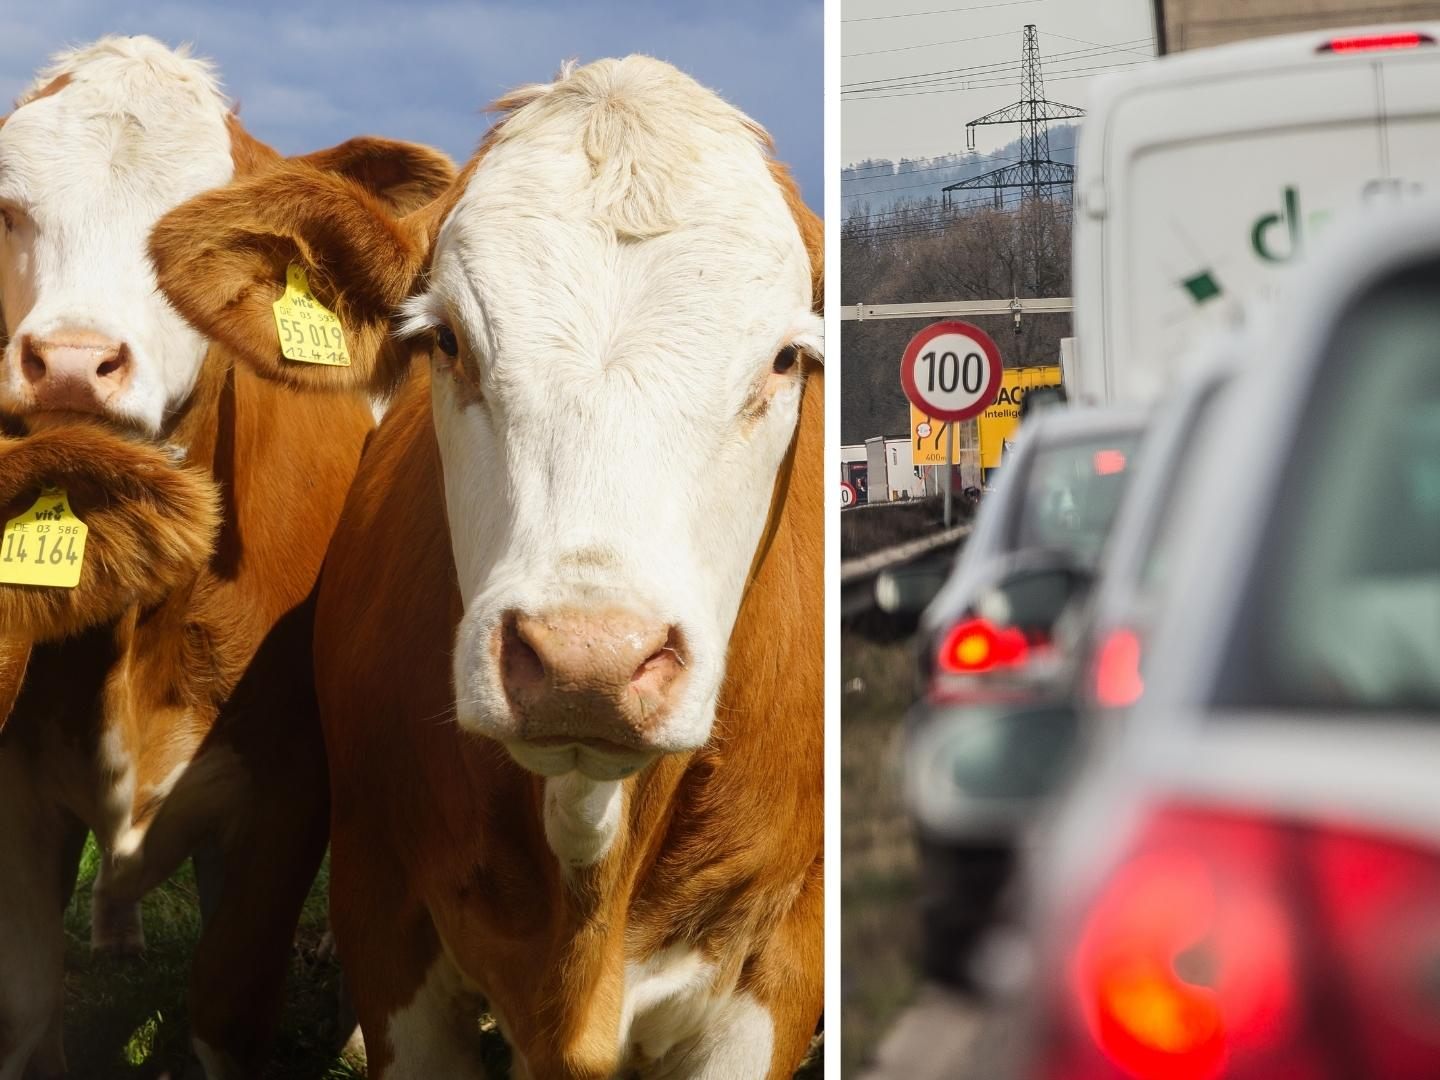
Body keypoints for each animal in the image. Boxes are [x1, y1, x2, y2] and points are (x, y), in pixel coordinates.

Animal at [0, 35, 454, 1079]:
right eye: (6, 210)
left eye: (190, 238)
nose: (71, 361)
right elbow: (27, 1008)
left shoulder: (292, 788)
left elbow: (228, 1002)